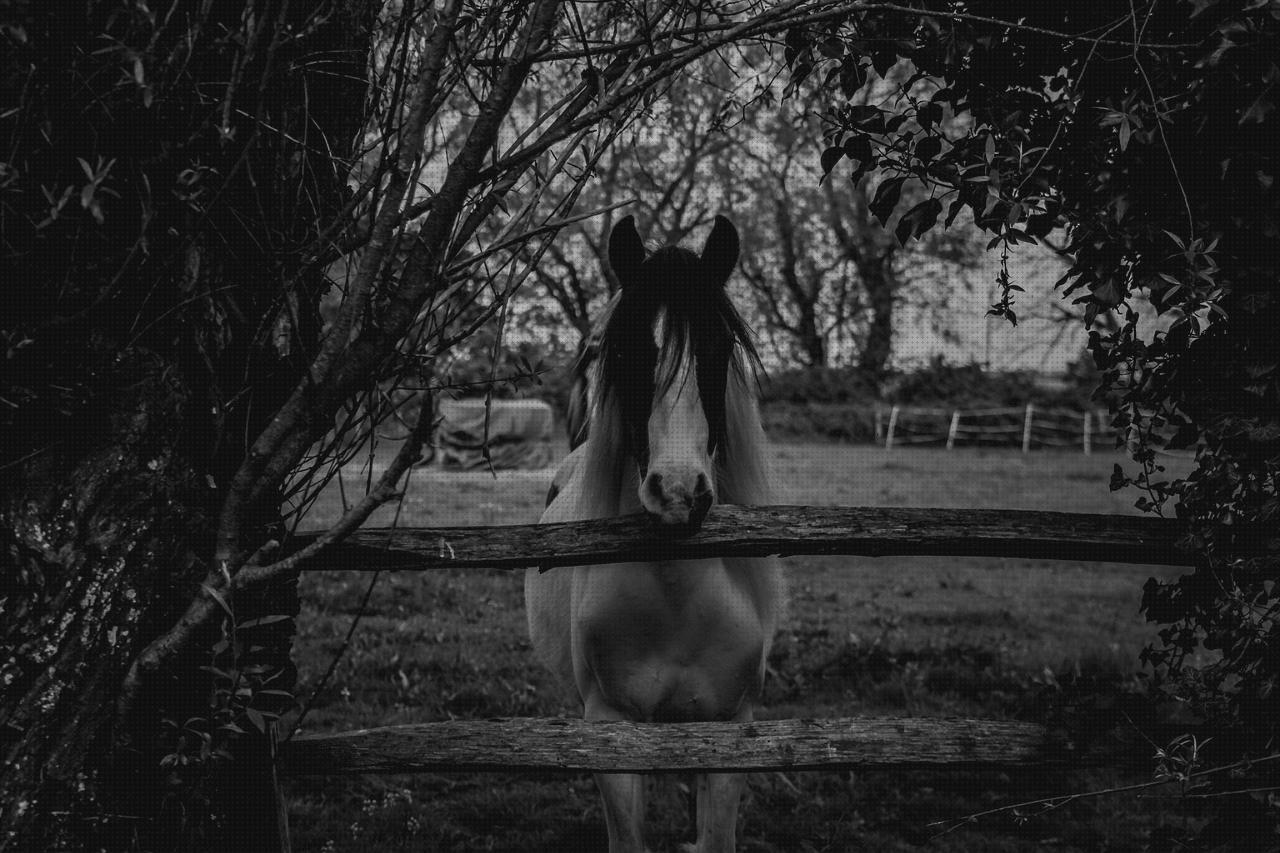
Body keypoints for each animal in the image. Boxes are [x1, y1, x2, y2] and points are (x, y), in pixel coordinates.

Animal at [526, 215, 784, 853]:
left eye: (718, 347)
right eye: (627, 350)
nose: (678, 492)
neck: (677, 598)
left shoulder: (730, 729)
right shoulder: (611, 728)